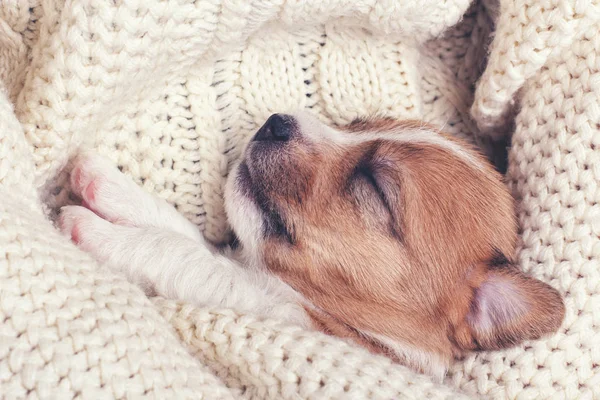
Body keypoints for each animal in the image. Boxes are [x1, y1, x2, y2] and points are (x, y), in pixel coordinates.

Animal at [58, 111, 564, 378]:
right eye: (355, 123)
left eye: (375, 184)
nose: (276, 122)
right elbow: (184, 234)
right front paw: (111, 186)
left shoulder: (282, 310)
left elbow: (188, 258)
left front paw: (99, 232)